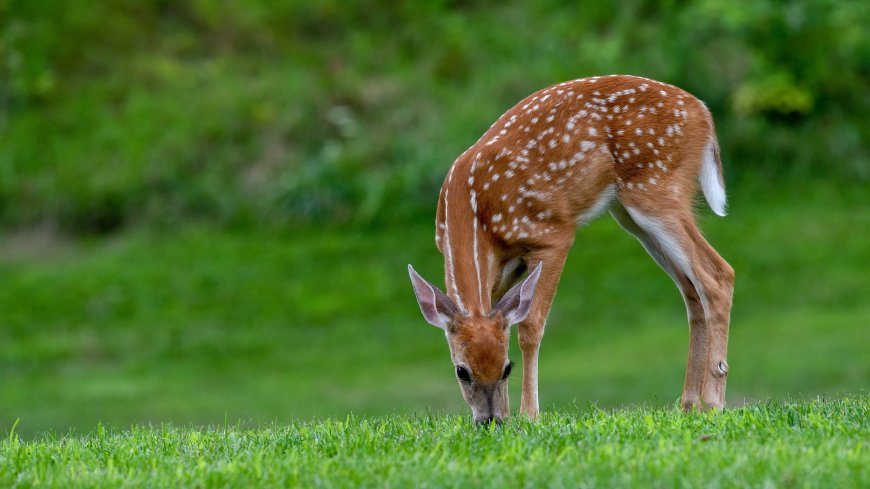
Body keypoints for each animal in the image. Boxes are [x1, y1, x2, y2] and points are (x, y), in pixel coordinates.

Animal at [408, 75, 734, 424]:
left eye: (507, 368)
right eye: (462, 371)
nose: (490, 420)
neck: (475, 216)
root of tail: (704, 114)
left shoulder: (552, 235)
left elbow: (530, 328)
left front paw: (529, 414)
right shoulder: (503, 271)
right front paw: (511, 414)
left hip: (656, 189)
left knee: (717, 275)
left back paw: (713, 401)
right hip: (631, 215)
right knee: (691, 289)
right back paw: (689, 404)